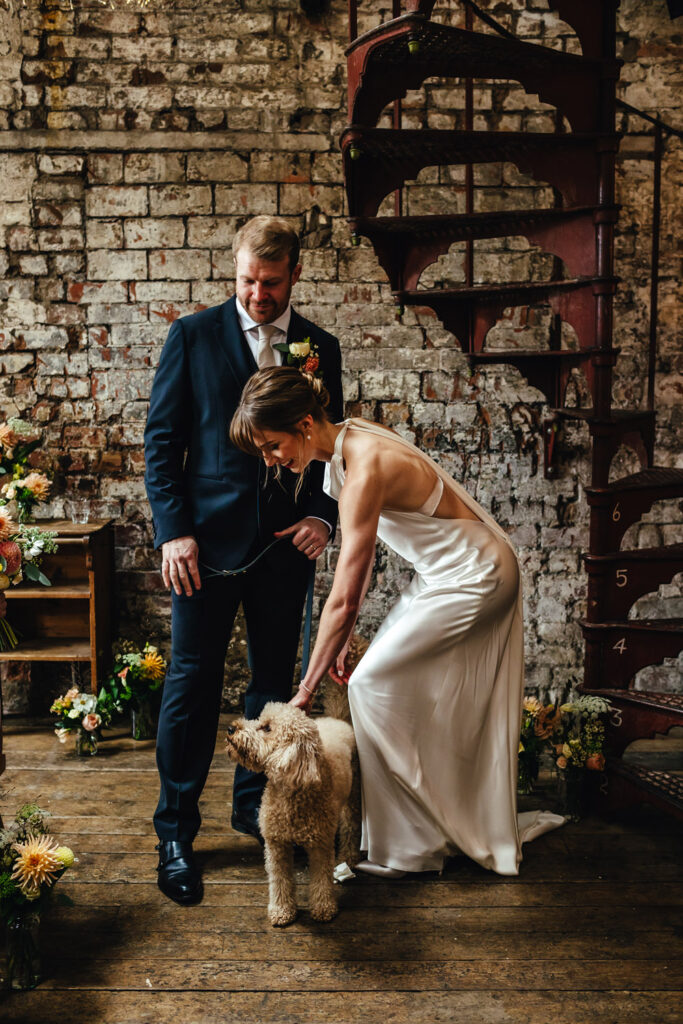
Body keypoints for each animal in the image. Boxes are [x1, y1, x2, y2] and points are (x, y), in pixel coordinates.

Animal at [227, 704, 356, 929]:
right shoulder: (276, 845)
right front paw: (281, 911)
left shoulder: (321, 845)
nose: (231, 728)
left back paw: (349, 856)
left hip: (353, 796)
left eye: (267, 728)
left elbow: (322, 878)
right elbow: (280, 880)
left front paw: (324, 908)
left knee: (351, 826)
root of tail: (336, 720)